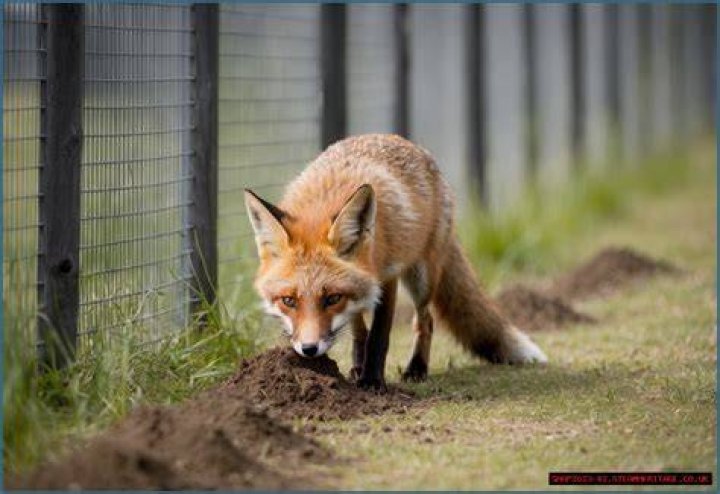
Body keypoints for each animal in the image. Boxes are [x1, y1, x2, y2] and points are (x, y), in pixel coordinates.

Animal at [244, 134, 547, 390]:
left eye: (331, 299)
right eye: (289, 301)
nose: (309, 350)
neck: (324, 199)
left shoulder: (386, 275)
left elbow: (379, 335)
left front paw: (372, 381)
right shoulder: (362, 288)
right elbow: (361, 332)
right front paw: (360, 369)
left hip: (421, 277)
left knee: (426, 320)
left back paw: (417, 369)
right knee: (361, 327)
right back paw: (360, 365)